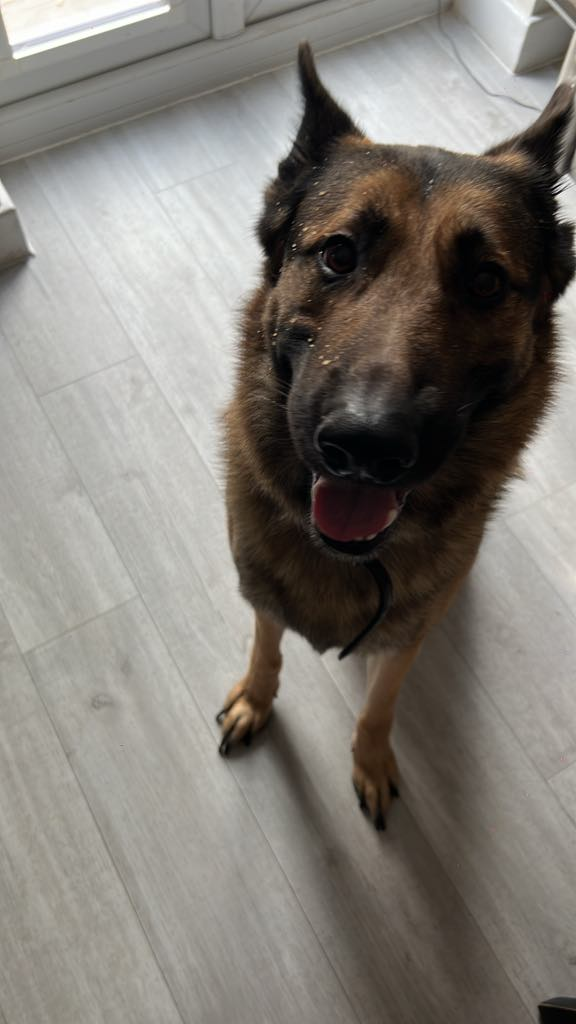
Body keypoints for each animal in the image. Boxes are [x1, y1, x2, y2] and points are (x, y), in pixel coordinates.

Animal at [217, 43, 575, 829]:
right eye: (338, 255)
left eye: (485, 282)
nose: (367, 446)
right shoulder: (260, 594)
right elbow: (267, 648)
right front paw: (256, 698)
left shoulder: (408, 634)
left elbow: (381, 702)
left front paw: (371, 759)